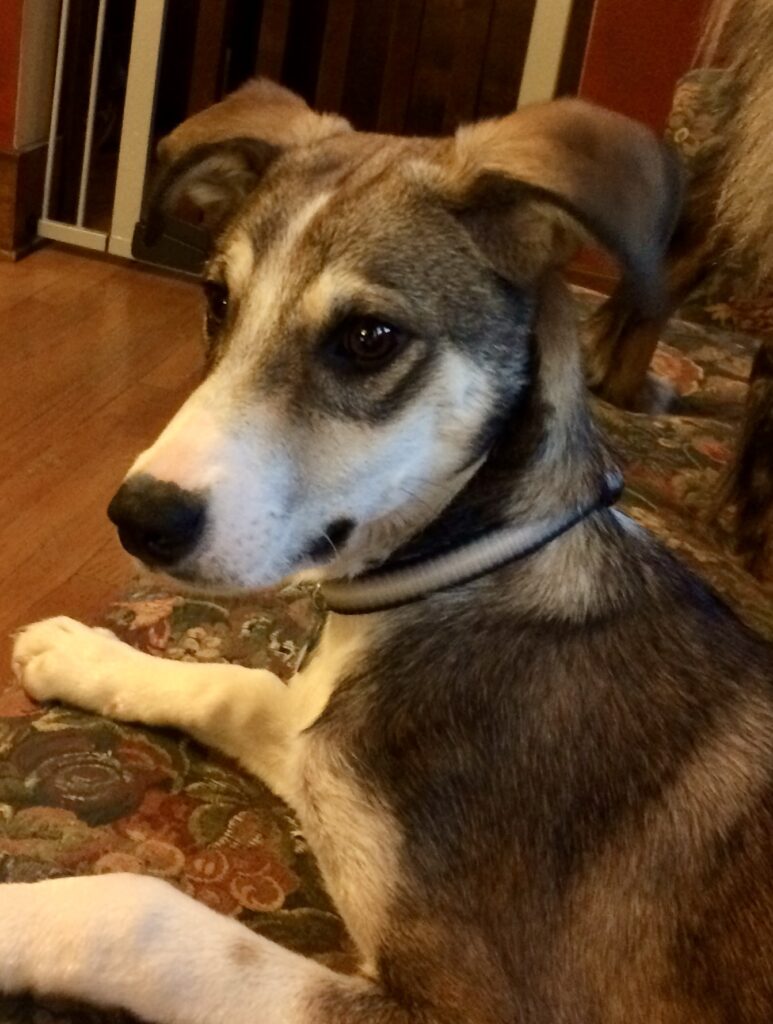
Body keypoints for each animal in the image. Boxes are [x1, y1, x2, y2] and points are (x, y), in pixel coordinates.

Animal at [4, 81, 773, 1024]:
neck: (465, 572)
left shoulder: (474, 1003)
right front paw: (85, 653)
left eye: (368, 338)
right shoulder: (324, 756)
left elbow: (147, 911)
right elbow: (240, 684)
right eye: (217, 299)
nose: (139, 517)